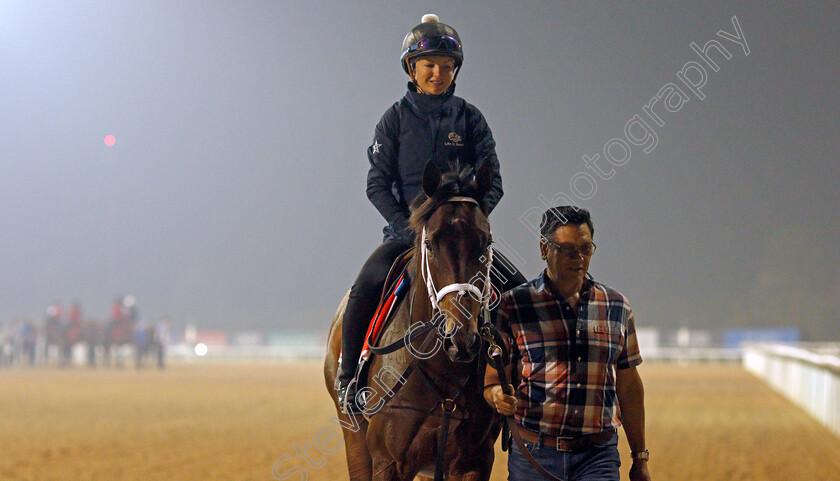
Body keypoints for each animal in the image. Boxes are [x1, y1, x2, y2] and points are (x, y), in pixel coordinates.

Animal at [324, 161, 502, 480]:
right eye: (429, 243)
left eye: (486, 242)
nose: (461, 339)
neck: (443, 372)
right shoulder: (387, 461)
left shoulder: (474, 462)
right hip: (354, 439)